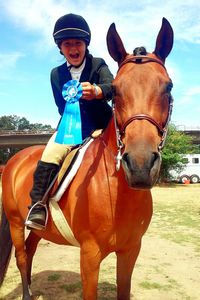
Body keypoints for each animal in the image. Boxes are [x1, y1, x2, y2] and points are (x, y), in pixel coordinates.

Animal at [0, 17, 173, 298]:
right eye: (115, 90)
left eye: (168, 87)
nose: (140, 166)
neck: (117, 190)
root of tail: (15, 160)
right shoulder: (90, 255)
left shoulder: (130, 250)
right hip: (16, 221)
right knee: (22, 256)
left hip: (40, 229)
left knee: (31, 249)